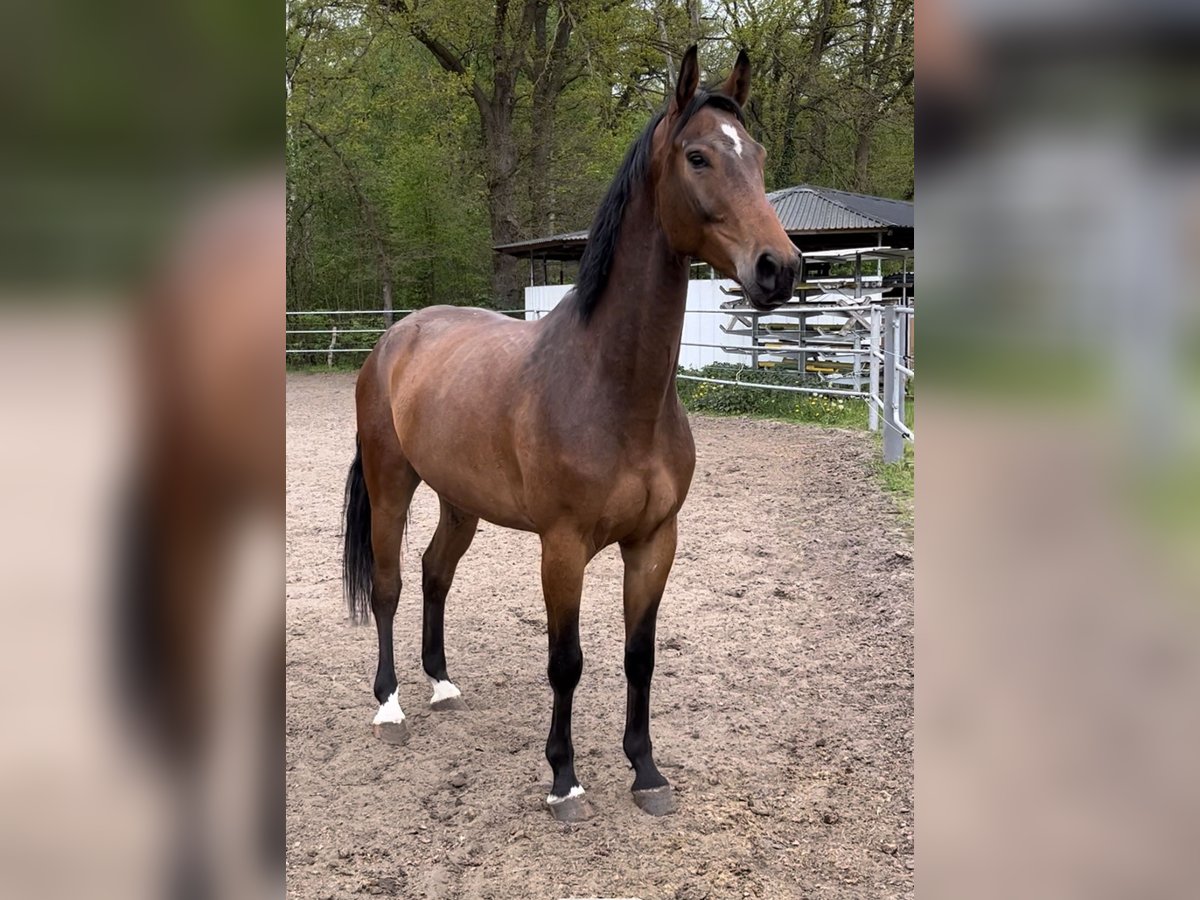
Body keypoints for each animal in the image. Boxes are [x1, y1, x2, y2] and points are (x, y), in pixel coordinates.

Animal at [343, 49, 801, 825]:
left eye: (759, 155)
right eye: (699, 156)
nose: (781, 268)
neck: (612, 393)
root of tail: (396, 338)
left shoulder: (654, 542)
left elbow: (639, 657)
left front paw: (646, 772)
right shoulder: (563, 547)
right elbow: (567, 662)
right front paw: (564, 780)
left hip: (460, 501)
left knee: (436, 573)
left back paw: (441, 685)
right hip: (391, 483)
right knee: (390, 584)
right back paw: (391, 706)